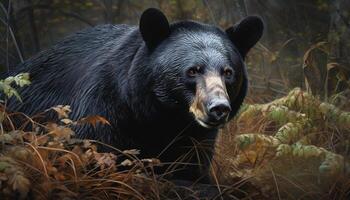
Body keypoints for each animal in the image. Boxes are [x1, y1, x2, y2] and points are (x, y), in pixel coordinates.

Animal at [4, 8, 262, 182]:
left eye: (228, 72)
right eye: (192, 70)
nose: (218, 108)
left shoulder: (195, 140)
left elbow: (190, 170)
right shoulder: (100, 116)